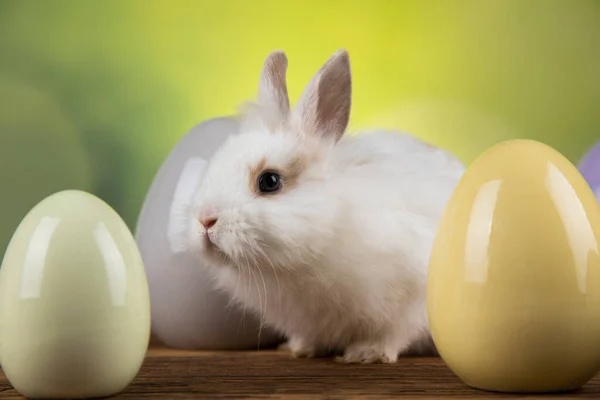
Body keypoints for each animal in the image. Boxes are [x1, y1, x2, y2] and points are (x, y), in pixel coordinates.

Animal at [186, 48, 464, 364]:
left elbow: (394, 333)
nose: (205, 220)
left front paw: (367, 353)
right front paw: (302, 349)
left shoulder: (410, 298)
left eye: (269, 181)